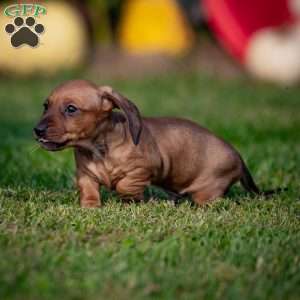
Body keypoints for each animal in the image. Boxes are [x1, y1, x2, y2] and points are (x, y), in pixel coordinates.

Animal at [34, 78, 268, 207]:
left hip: (208, 190)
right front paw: (90, 207)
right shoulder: (85, 174)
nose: (37, 130)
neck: (98, 149)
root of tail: (240, 158)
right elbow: (88, 190)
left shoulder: (144, 169)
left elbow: (124, 184)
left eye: (71, 109)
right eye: (46, 106)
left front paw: (129, 200)